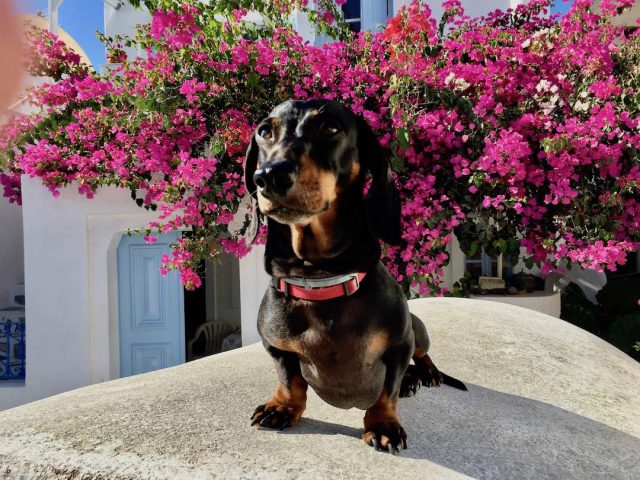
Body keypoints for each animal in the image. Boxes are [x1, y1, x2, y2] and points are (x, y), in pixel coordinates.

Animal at [245, 99, 464, 452]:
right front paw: (282, 407)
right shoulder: (276, 347)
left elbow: (387, 390)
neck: (318, 280)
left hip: (417, 327)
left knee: (421, 356)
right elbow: (290, 379)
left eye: (331, 127)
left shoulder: (400, 344)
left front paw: (383, 424)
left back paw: (425, 375)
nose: (269, 175)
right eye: (265, 131)